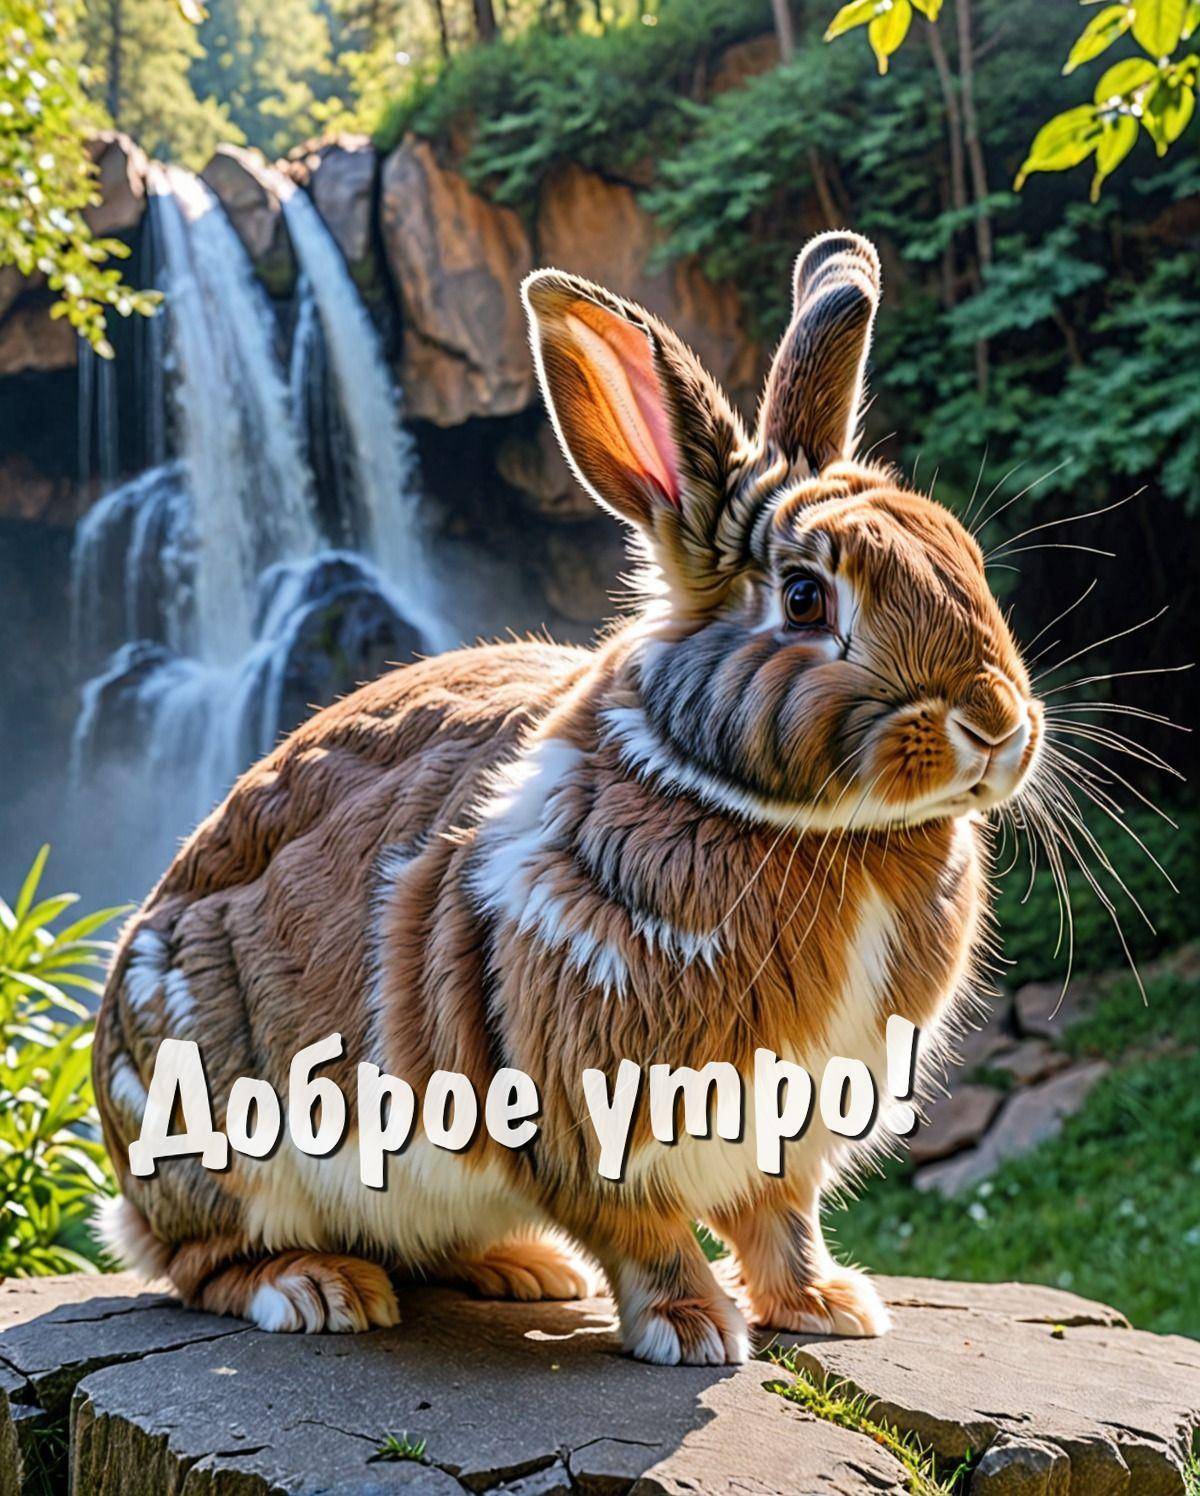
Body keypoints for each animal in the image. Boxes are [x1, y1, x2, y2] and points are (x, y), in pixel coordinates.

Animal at [93, 230, 1042, 1366]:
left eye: (963, 553)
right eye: (807, 597)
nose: (997, 723)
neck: (802, 823)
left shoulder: (791, 1127)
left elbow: (781, 1219)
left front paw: (830, 1307)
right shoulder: (588, 1102)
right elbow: (646, 1231)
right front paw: (693, 1329)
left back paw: (523, 1270)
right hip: (206, 1131)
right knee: (199, 1263)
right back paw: (319, 1287)